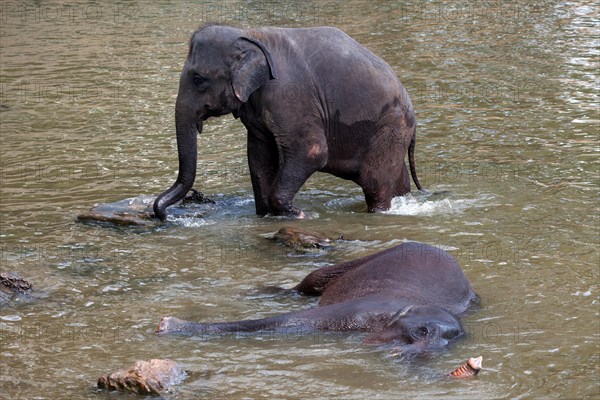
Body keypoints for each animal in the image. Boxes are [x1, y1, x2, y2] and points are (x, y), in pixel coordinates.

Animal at [155, 24, 426, 222]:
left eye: (199, 79)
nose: (164, 215)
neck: (251, 35)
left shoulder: (289, 97)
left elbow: (311, 152)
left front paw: (299, 215)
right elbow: (259, 157)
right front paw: (267, 215)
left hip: (391, 126)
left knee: (374, 182)